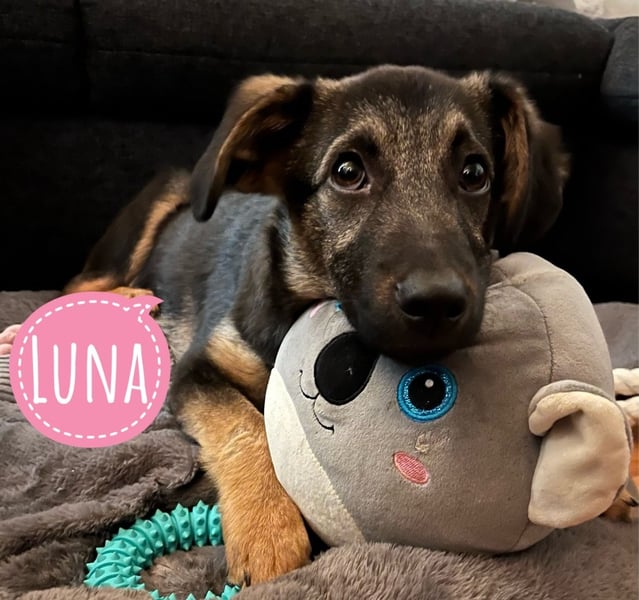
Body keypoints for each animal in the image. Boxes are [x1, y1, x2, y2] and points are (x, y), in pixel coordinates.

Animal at [63, 65, 570, 585]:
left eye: (474, 174)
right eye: (347, 172)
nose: (437, 304)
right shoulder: (196, 366)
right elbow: (244, 423)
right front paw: (267, 531)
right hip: (154, 210)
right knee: (80, 282)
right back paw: (128, 301)